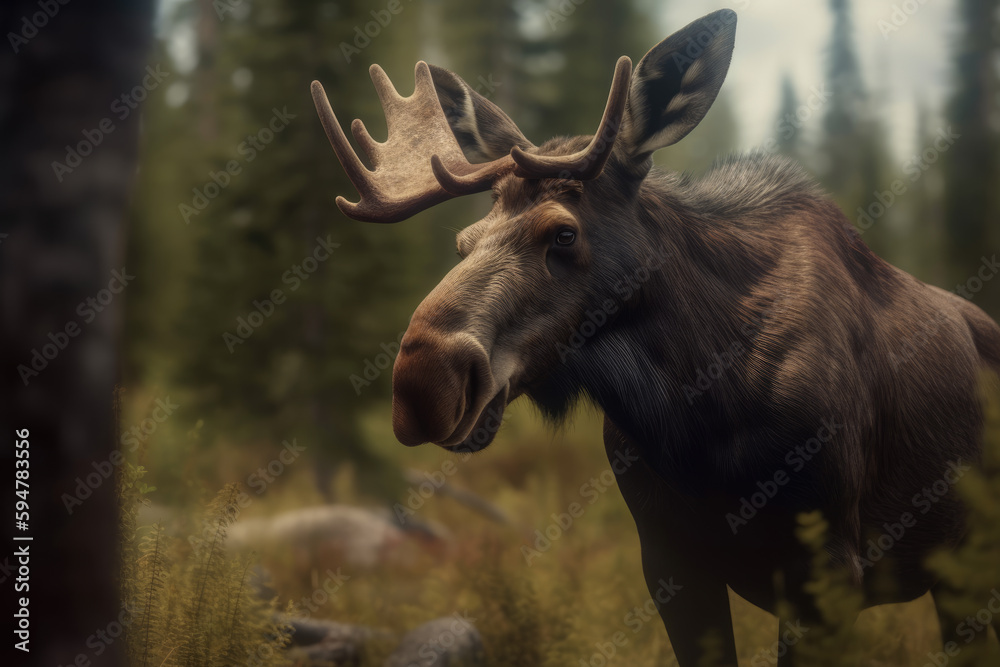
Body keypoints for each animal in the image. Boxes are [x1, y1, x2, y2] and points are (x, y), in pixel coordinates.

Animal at [310, 9, 1000, 666]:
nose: (420, 384)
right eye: (463, 243)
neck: (697, 411)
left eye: (564, 232)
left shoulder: (828, 568)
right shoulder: (670, 561)